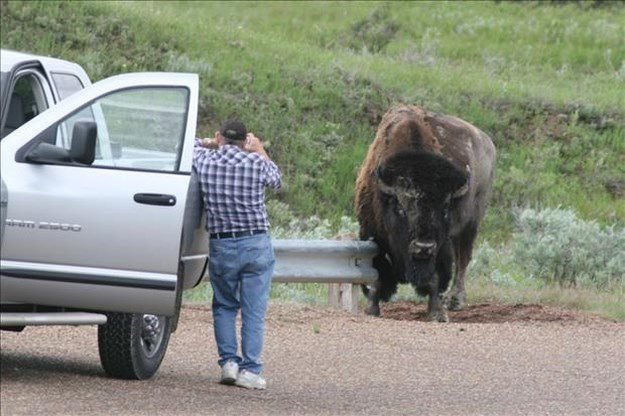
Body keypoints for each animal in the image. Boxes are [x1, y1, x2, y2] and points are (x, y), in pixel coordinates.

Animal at [354, 104, 494, 322]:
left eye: (444, 208)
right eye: (400, 207)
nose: (423, 247)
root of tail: (487, 142)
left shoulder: (441, 247)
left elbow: (436, 277)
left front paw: (437, 314)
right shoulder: (371, 234)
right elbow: (377, 274)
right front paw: (372, 310)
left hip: (471, 224)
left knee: (463, 259)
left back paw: (455, 301)